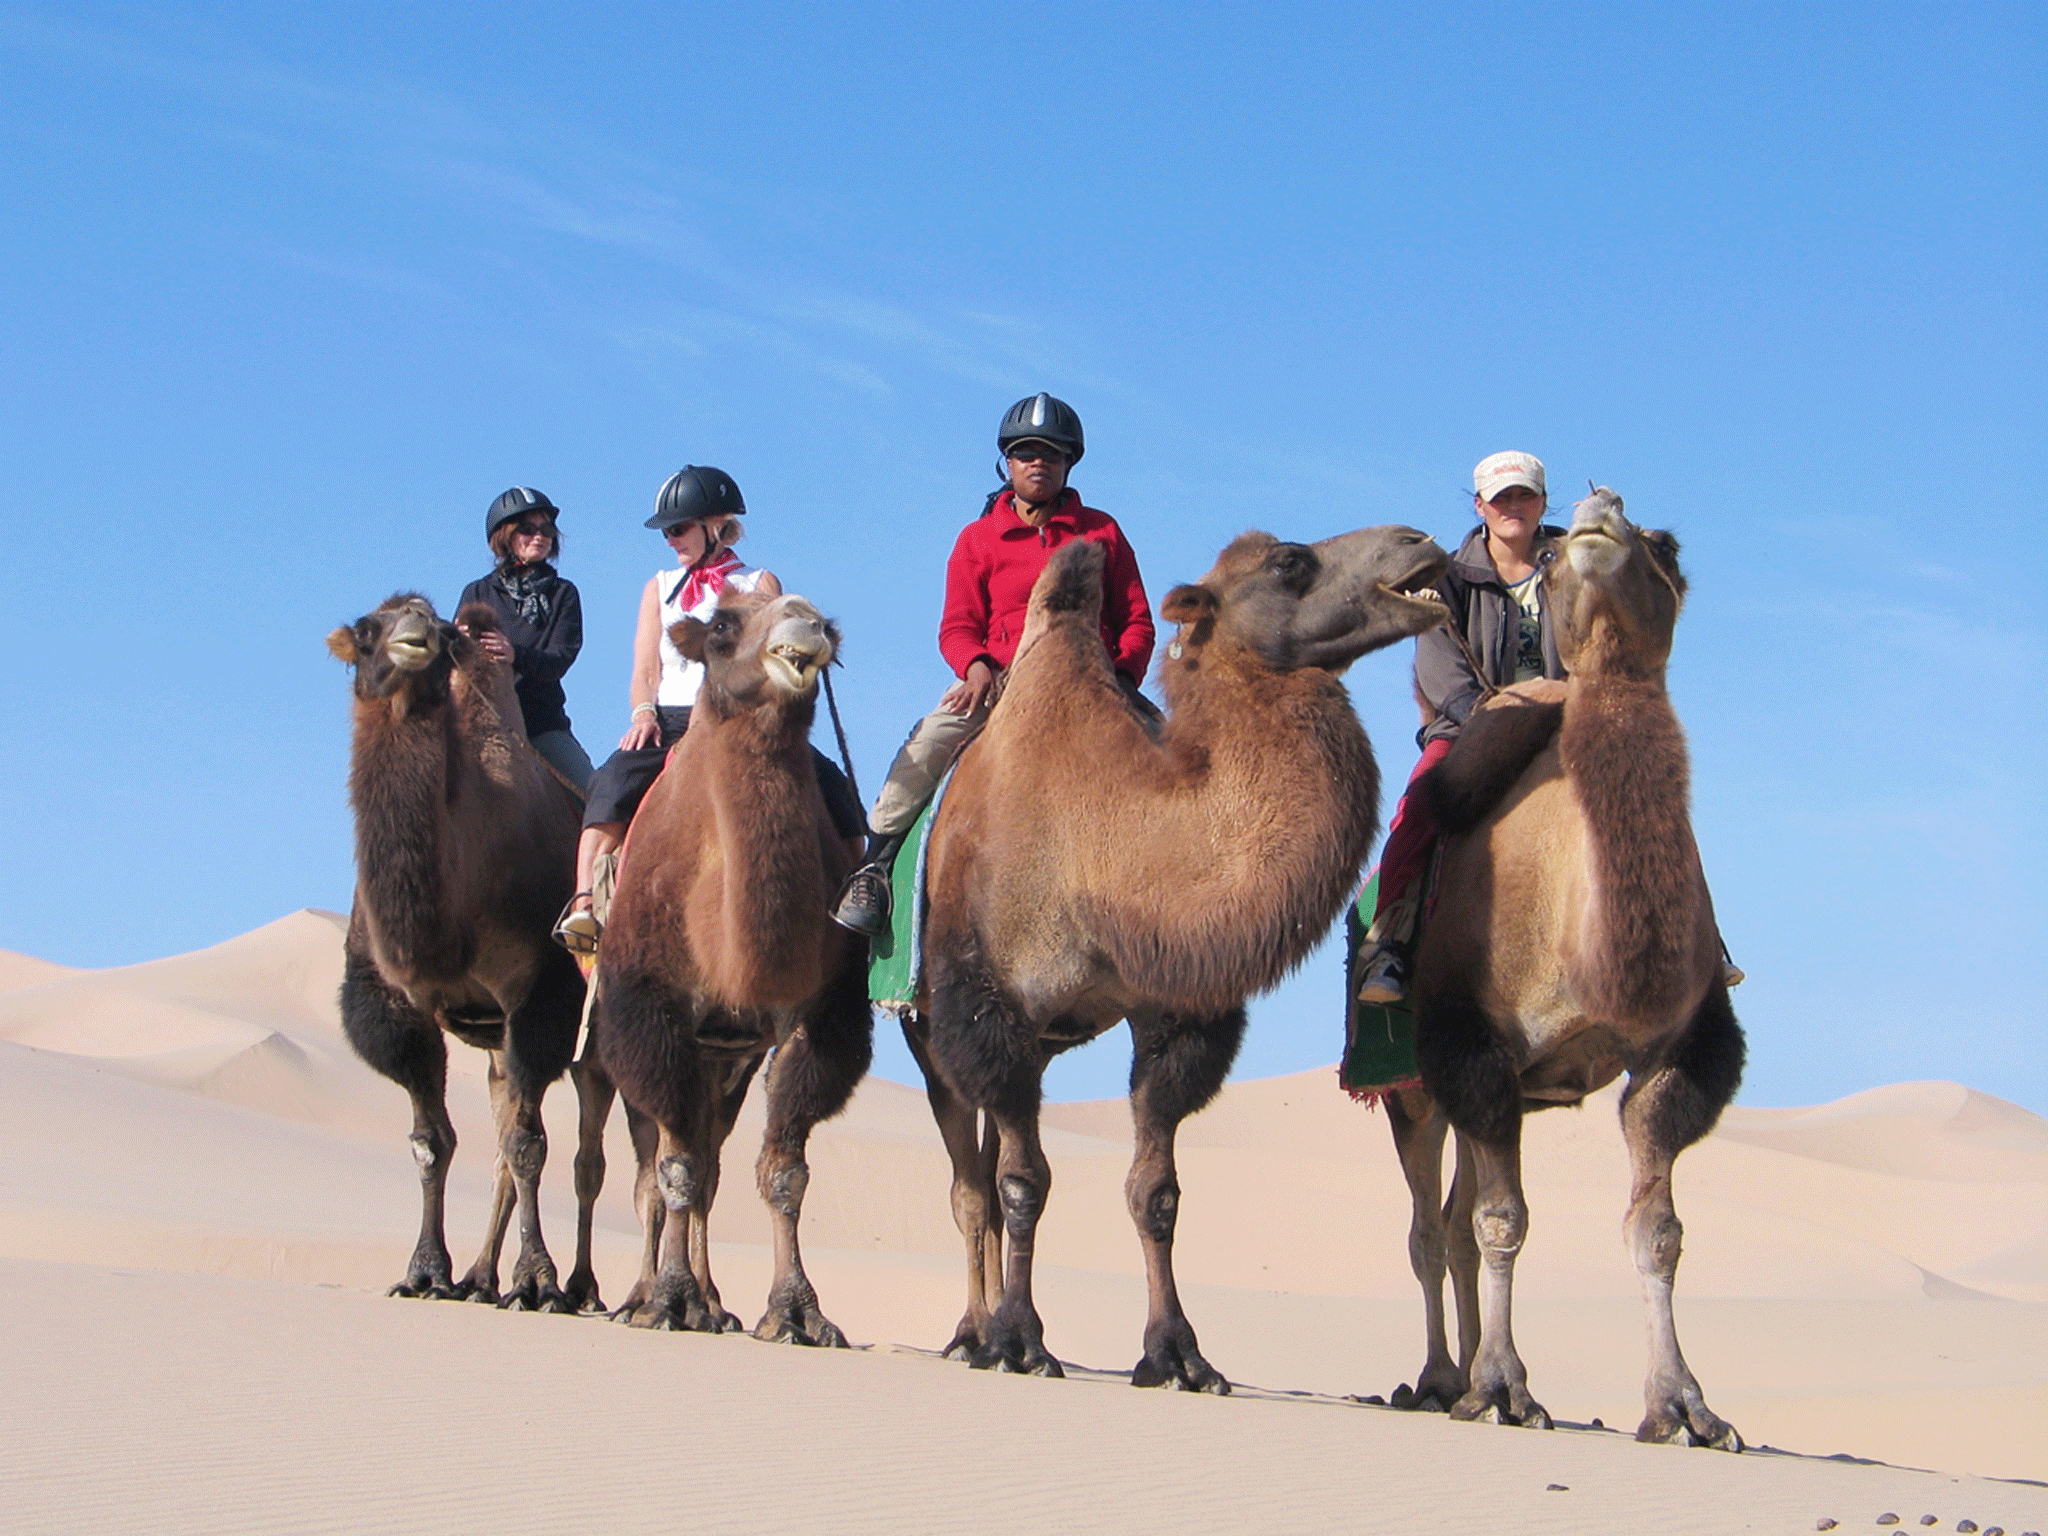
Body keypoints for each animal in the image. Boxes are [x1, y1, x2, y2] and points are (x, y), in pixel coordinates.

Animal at [328, 595, 589, 1310]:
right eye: (367, 629)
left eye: (443, 631)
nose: (415, 629)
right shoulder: (396, 1001)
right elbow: (432, 1142)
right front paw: (425, 1272)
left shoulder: (540, 989)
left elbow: (529, 1145)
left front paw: (537, 1280)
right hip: (496, 1043)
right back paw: (477, 1278)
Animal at [594, 591, 872, 1341]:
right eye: (720, 627)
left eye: (826, 623)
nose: (805, 622)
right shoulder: (649, 1011)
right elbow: (674, 1169)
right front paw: (667, 1299)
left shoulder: (816, 1018)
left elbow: (781, 1172)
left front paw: (797, 1311)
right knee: (651, 1169)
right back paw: (641, 1295)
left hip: (727, 1059)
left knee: (711, 1161)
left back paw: (714, 1304)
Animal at [910, 527, 1450, 1389]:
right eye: (1289, 561)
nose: (1418, 542)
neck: (1102, 842)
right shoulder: (995, 1009)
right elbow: (1024, 1186)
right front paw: (1022, 1339)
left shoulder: (1169, 1015)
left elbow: (1154, 1191)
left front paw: (1177, 1354)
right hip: (931, 1033)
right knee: (970, 1186)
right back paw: (972, 1332)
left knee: (987, 1175)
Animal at [1386, 487, 1745, 1449]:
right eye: (1548, 561)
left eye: (1668, 544)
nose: (1599, 508)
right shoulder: (1471, 1042)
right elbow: (1503, 1221)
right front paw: (1503, 1387)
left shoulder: (1672, 1053)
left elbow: (1656, 1230)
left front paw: (1685, 1407)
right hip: (1411, 1087)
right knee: (1429, 1228)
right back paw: (1437, 1378)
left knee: (1452, 1222)